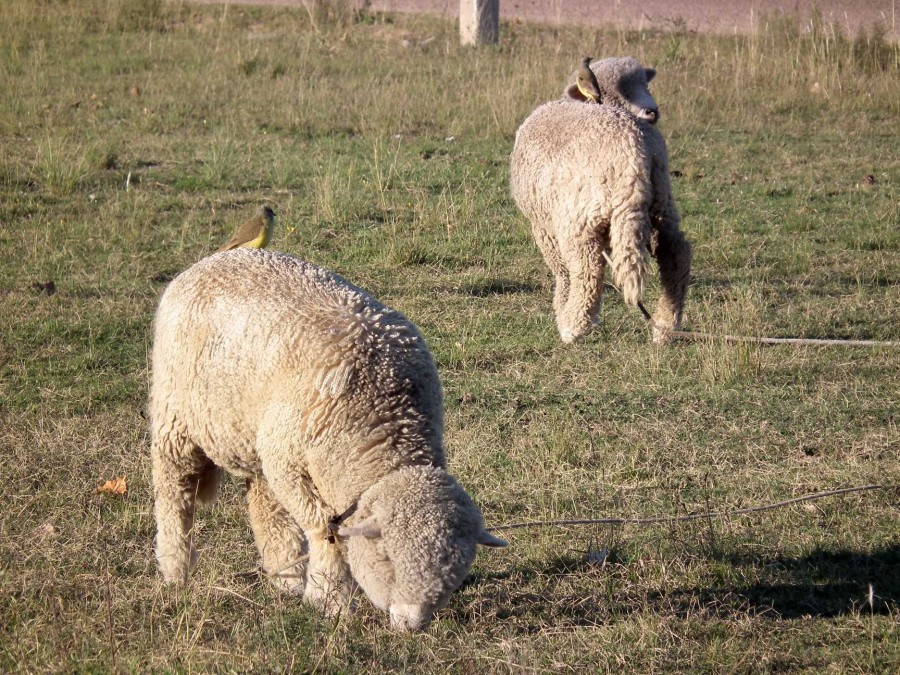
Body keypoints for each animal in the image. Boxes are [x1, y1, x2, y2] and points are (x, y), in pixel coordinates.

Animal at [152, 250, 510, 632]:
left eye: (452, 577)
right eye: (389, 560)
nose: (410, 625)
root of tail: (213, 259)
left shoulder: (283, 457)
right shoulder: (290, 467)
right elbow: (324, 530)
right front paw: (329, 599)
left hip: (255, 434)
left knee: (265, 505)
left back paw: (286, 578)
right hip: (174, 420)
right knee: (174, 495)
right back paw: (176, 570)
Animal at [510, 56, 692, 344]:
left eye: (645, 85)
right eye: (618, 91)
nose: (652, 111)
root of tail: (632, 149)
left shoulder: (543, 225)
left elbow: (561, 271)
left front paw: (560, 305)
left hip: (578, 220)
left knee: (587, 270)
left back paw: (573, 326)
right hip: (661, 204)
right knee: (677, 255)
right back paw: (665, 326)